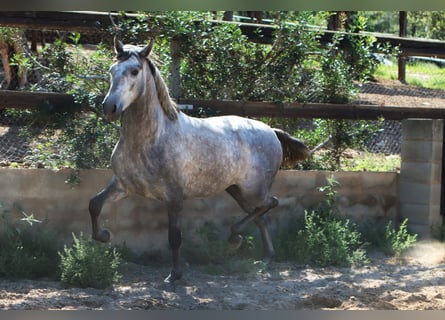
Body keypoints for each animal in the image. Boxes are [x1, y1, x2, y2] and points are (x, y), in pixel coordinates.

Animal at [88, 37, 306, 288]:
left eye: (134, 71)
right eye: (112, 70)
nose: (109, 107)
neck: (152, 137)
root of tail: (271, 130)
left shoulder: (174, 197)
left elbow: (174, 237)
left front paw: (174, 275)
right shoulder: (123, 185)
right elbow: (94, 204)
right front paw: (104, 236)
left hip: (254, 189)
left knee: (271, 203)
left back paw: (235, 238)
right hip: (237, 190)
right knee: (261, 215)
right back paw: (265, 256)